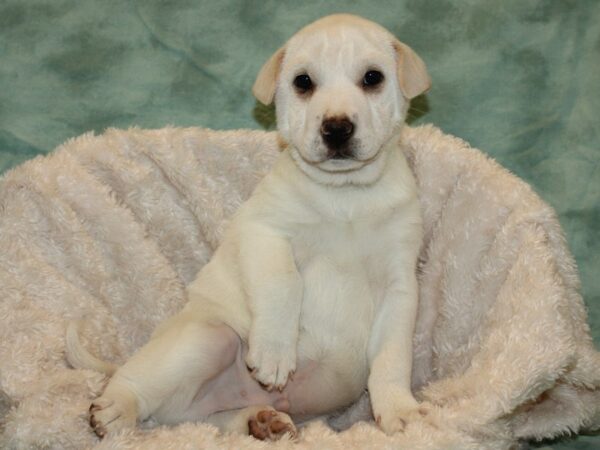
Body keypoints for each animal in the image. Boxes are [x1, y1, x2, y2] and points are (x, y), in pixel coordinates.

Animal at [65, 13, 432, 440]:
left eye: (373, 77)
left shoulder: (399, 285)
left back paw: (262, 420)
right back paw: (114, 409)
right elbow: (284, 284)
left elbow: (393, 356)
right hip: (209, 338)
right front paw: (274, 354)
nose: (336, 127)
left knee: (205, 421)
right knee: (134, 384)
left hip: (208, 407)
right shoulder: (265, 233)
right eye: (303, 82)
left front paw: (399, 410)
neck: (345, 196)